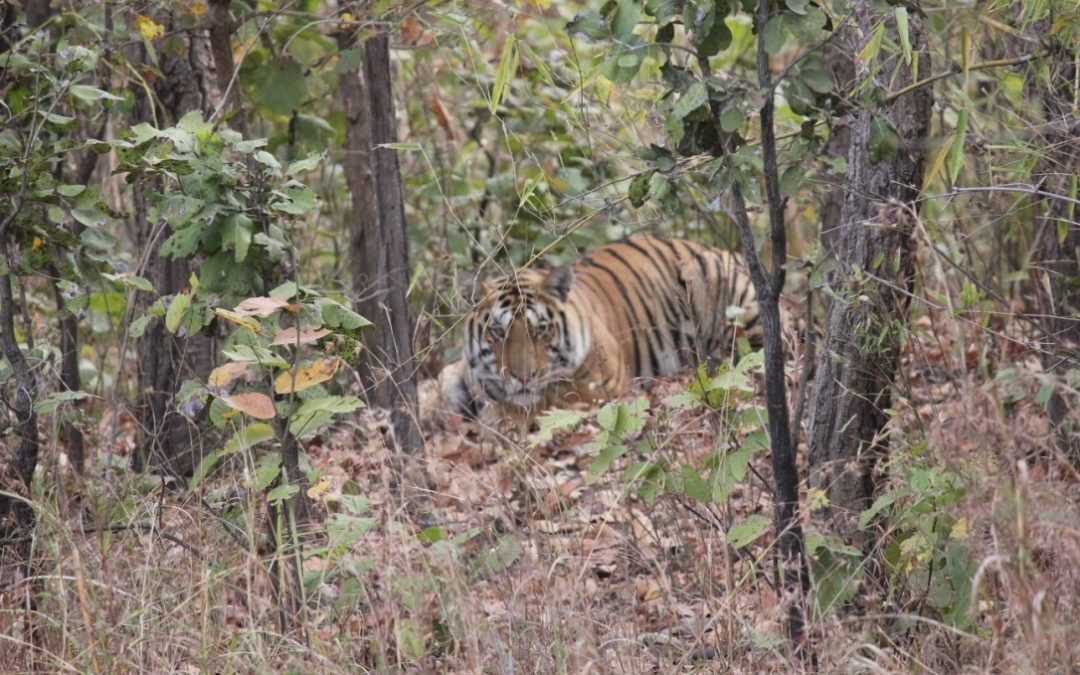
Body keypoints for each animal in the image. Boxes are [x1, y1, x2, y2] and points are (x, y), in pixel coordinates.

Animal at [438, 234, 760, 419]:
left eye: (540, 330)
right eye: (498, 332)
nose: (523, 378)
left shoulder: (603, 386)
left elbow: (545, 400)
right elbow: (444, 381)